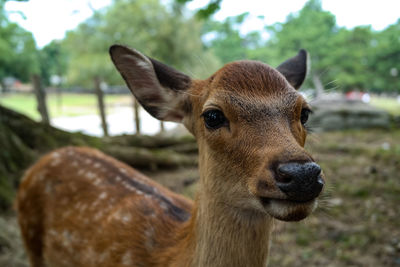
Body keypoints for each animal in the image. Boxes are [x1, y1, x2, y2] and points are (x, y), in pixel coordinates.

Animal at [17, 45, 324, 266]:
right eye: (212, 116)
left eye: (305, 113)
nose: (302, 174)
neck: (170, 255)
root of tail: (51, 154)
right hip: (30, 239)